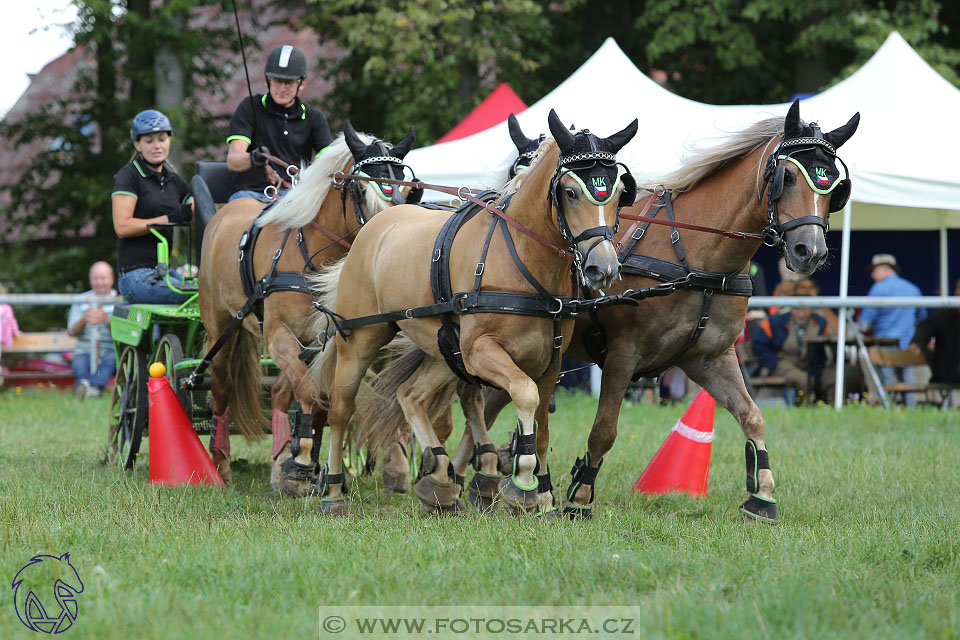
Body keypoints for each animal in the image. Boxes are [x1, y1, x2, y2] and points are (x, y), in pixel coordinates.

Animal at [198, 124, 416, 496]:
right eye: (360, 187)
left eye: (402, 181)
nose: (390, 230)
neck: (311, 254)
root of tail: (222, 214)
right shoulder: (278, 334)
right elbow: (310, 392)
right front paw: (300, 462)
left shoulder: (327, 339)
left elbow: (320, 399)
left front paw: (308, 466)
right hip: (222, 329)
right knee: (223, 388)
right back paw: (221, 465)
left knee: (280, 392)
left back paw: (279, 465)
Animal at [308, 110, 636, 516]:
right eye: (571, 192)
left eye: (620, 193)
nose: (602, 268)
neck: (521, 258)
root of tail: (375, 226)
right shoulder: (482, 351)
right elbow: (524, 395)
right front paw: (522, 480)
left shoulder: (550, 361)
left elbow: (541, 426)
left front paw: (543, 496)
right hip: (361, 339)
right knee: (341, 408)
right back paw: (334, 490)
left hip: (443, 347)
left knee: (410, 394)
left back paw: (438, 476)